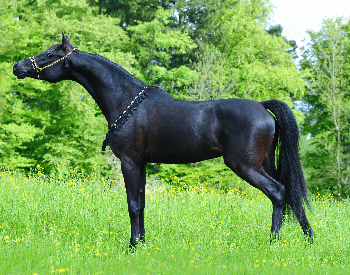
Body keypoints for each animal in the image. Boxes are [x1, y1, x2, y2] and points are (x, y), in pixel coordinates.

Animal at [14, 33, 314, 247]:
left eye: (50, 53)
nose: (18, 66)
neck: (127, 100)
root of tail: (263, 107)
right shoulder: (142, 163)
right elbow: (142, 203)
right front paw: (142, 243)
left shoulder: (129, 161)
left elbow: (133, 204)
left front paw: (132, 246)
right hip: (265, 163)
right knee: (290, 193)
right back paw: (308, 238)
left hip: (245, 165)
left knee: (278, 192)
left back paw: (274, 242)